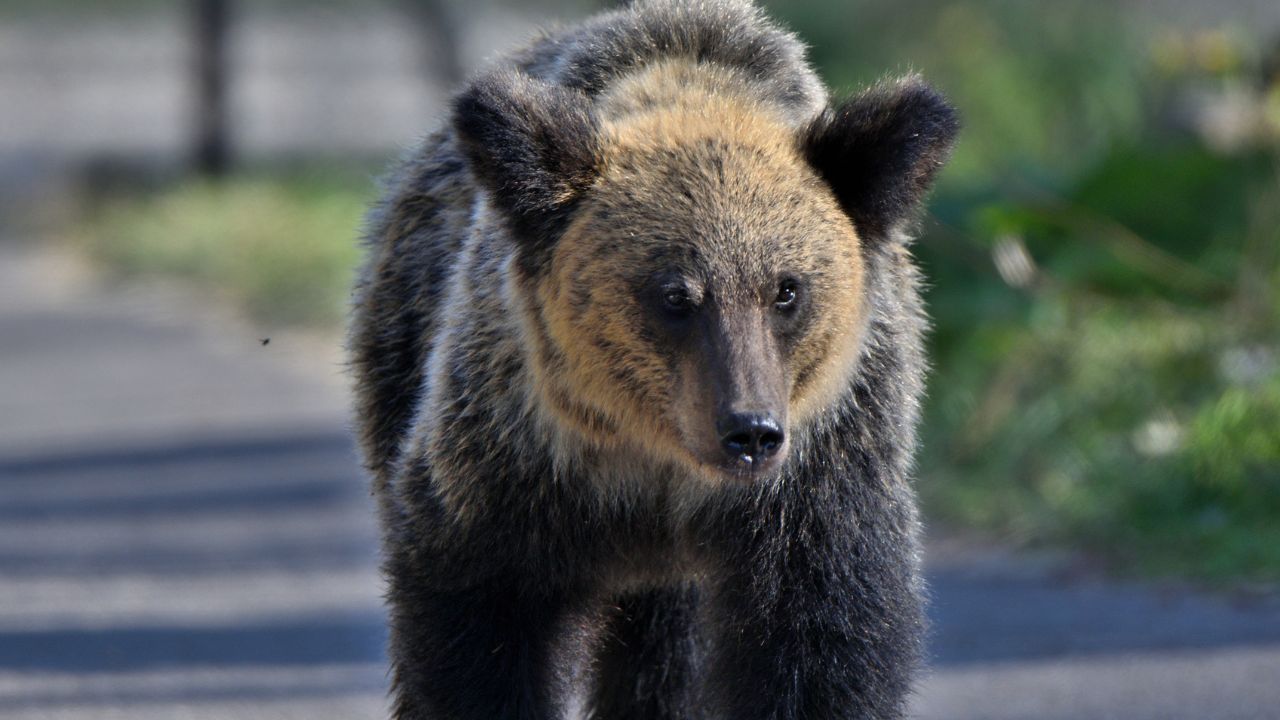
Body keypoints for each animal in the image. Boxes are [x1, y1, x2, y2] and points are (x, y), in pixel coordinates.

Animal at [349, 1, 958, 718]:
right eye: (675, 294)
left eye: (786, 288)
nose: (750, 431)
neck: (660, 467)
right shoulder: (510, 466)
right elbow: (476, 628)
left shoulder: (819, 478)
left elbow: (820, 641)